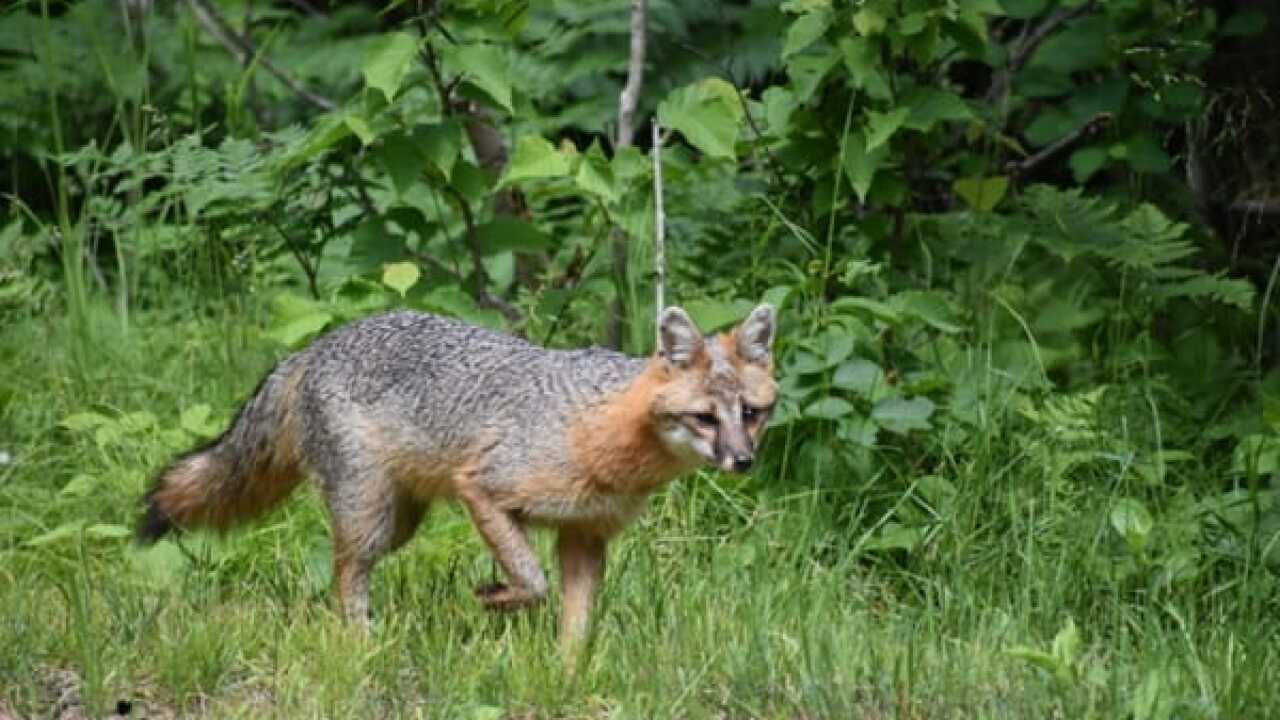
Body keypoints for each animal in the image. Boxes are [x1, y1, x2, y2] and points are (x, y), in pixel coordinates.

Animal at [136, 303, 778, 649]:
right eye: (704, 418)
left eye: (751, 413)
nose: (743, 461)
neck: (599, 429)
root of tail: (313, 348)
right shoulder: (484, 489)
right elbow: (532, 582)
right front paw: (494, 597)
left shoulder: (584, 535)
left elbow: (575, 624)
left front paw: (566, 674)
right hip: (370, 518)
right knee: (345, 575)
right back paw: (361, 643)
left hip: (399, 524)